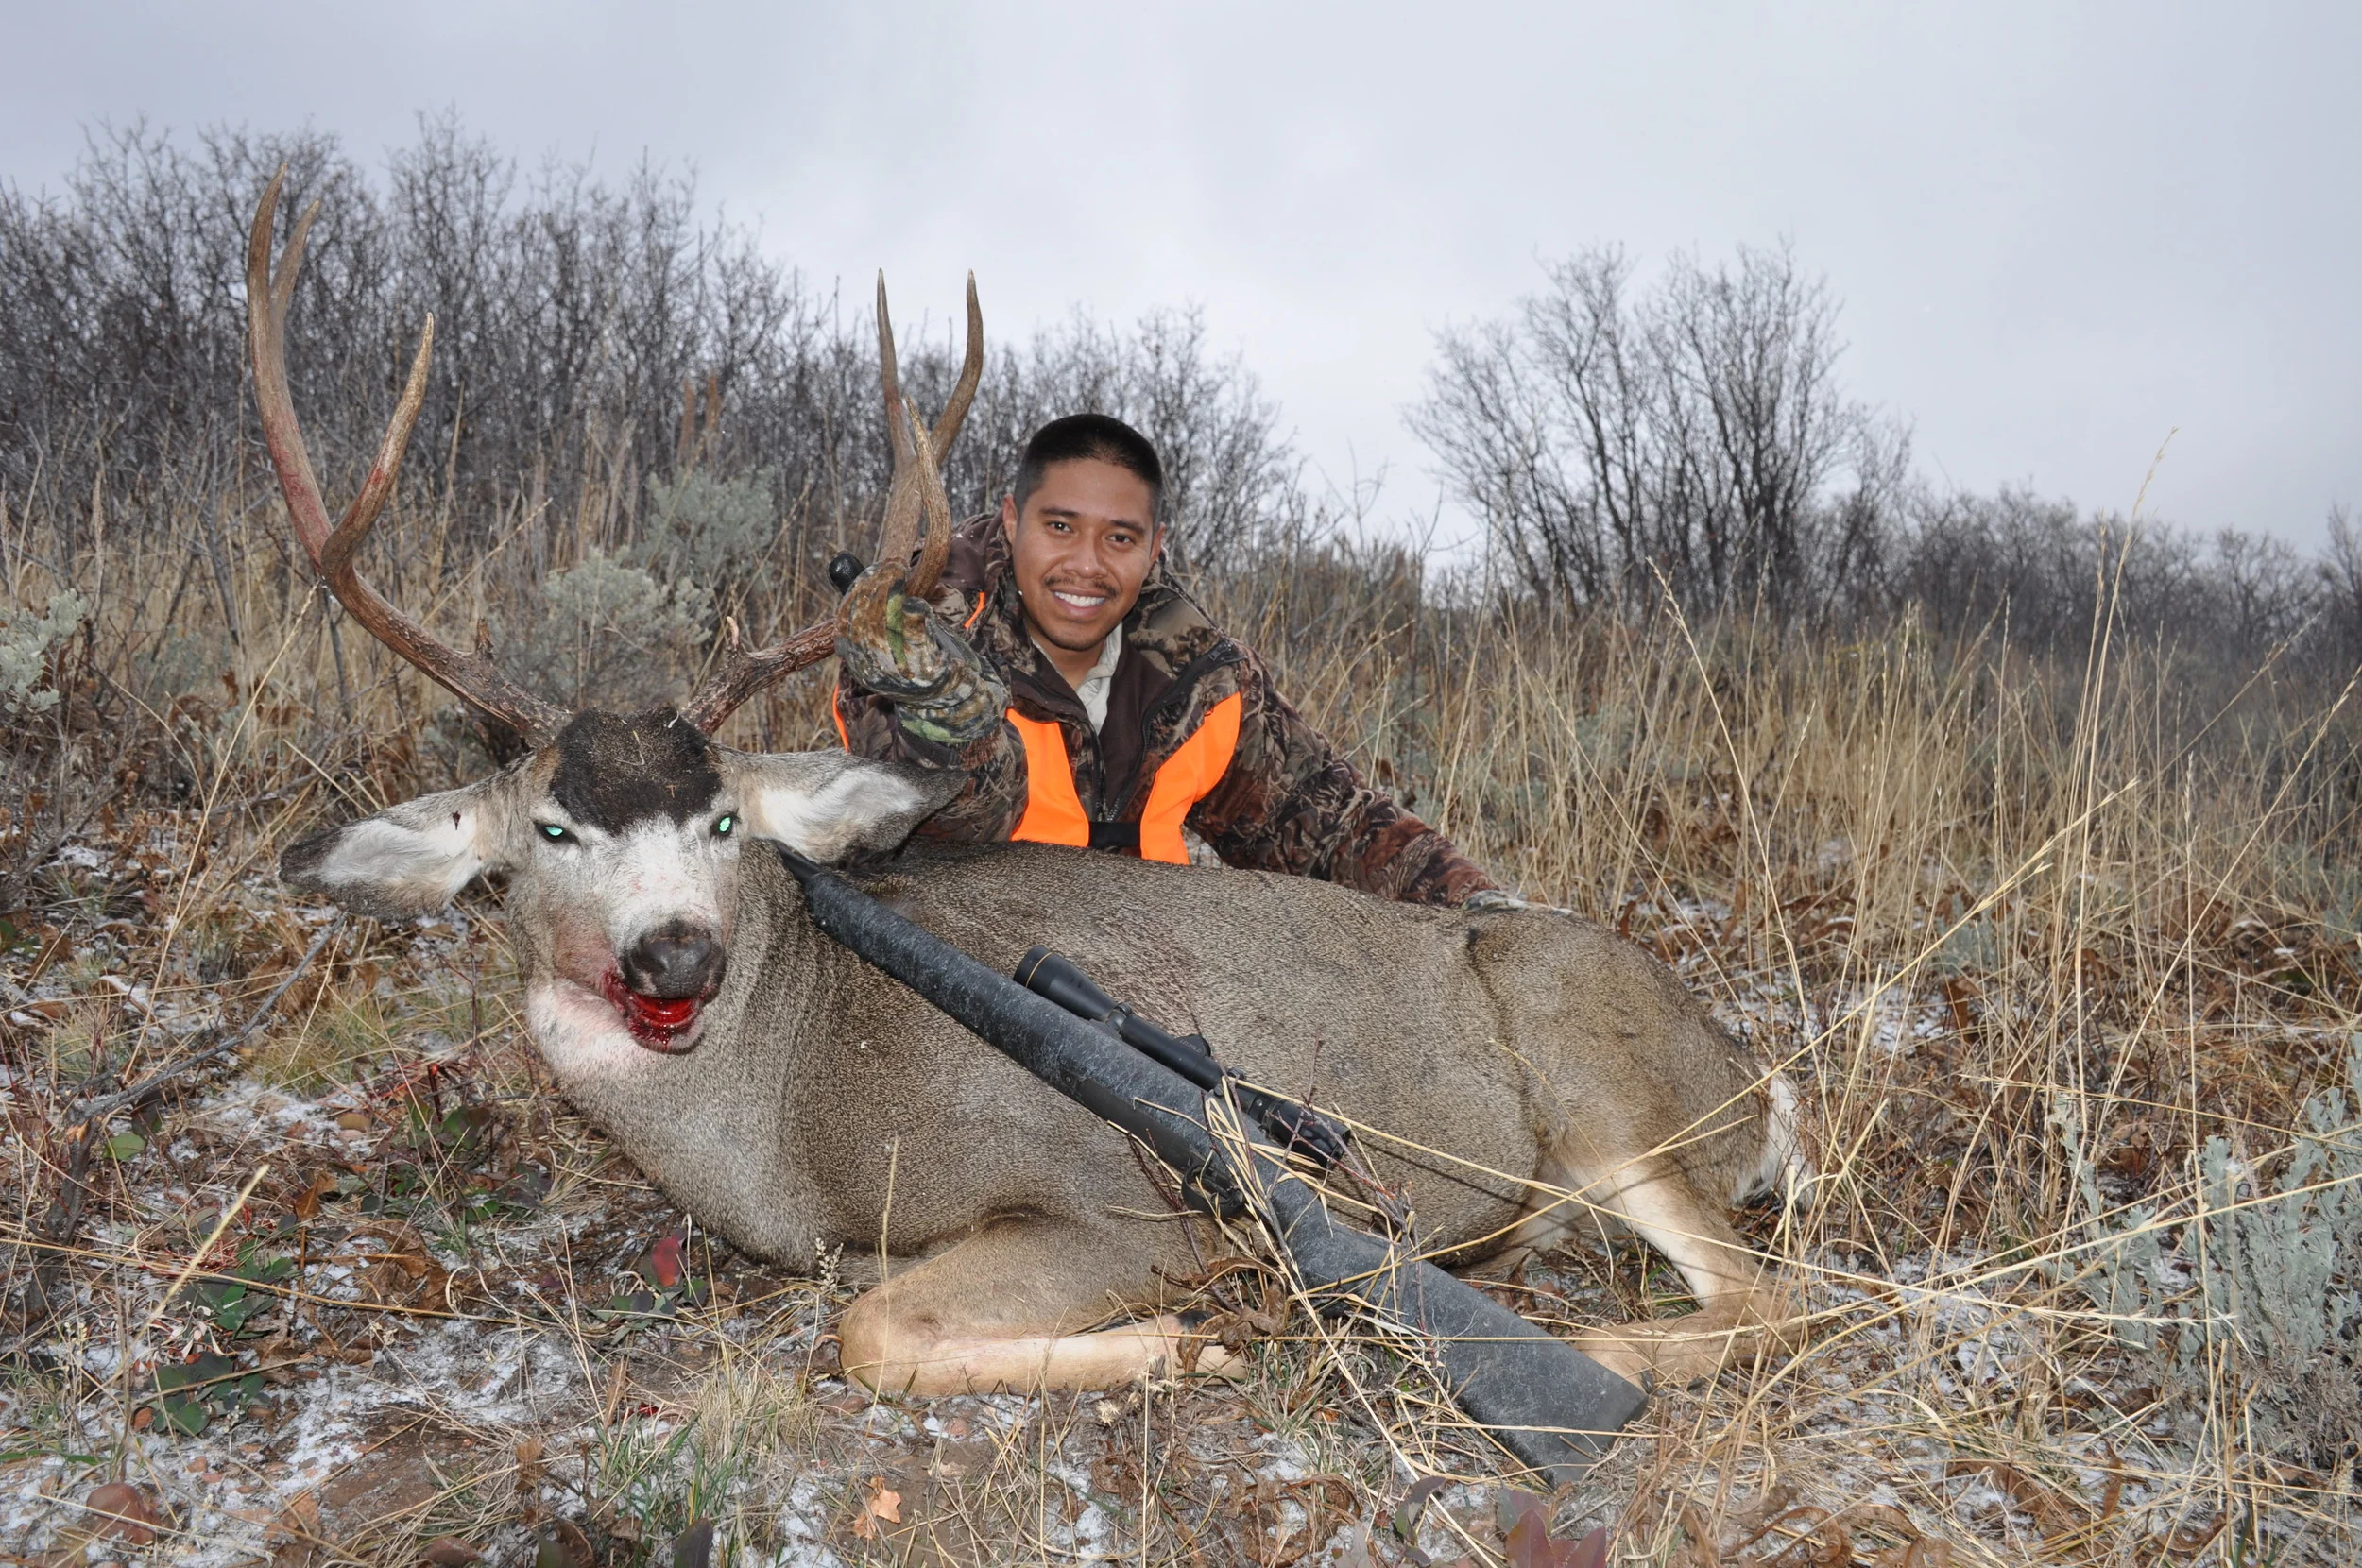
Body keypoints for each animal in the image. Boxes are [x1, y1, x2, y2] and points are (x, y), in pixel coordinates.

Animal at [248, 172, 1806, 1398]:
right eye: (552, 827)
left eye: (723, 819)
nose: (675, 954)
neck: (786, 1114)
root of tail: (1755, 1074)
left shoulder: (1112, 1198)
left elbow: (872, 1332)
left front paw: (1187, 1338)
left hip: (1613, 1098)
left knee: (1766, 1296)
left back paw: (1583, 1352)